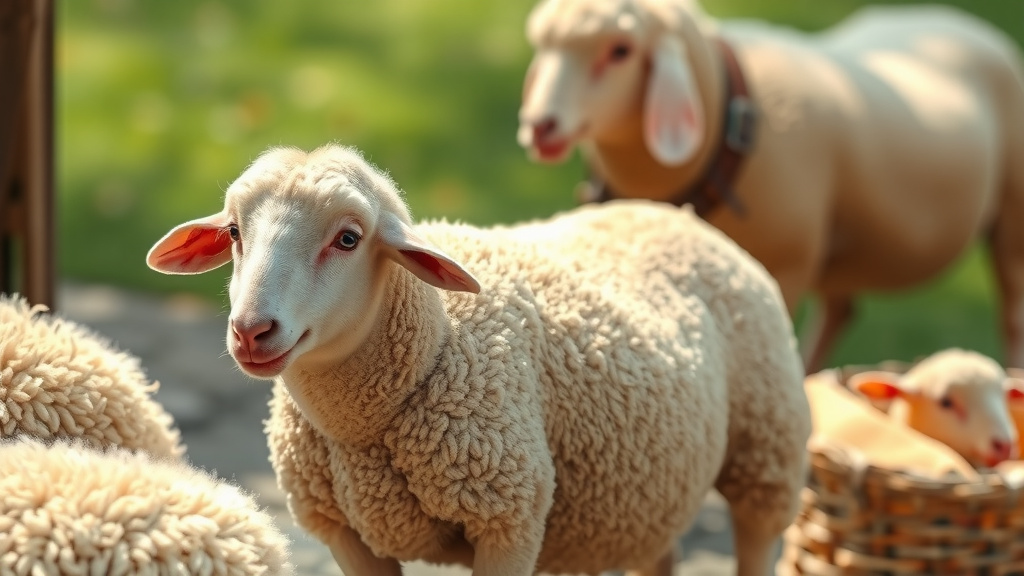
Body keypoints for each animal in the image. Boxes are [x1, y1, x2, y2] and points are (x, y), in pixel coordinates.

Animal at [144, 143, 811, 576]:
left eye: (349, 239)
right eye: (234, 232)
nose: (251, 331)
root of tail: (672, 212)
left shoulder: (509, 519)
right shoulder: (348, 534)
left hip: (767, 449)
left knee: (758, 539)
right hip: (652, 494)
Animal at [516, 0, 1024, 373]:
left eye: (620, 50)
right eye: (541, 46)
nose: (540, 126)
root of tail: (959, 22)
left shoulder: (787, 266)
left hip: (1010, 218)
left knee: (1011, 315)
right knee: (841, 310)